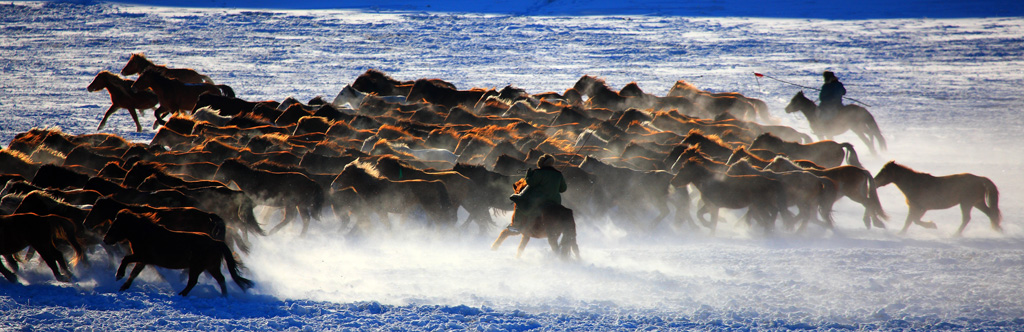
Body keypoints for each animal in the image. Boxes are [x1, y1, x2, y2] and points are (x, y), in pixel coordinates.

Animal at [103, 209, 253, 297]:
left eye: (115, 226)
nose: (105, 239)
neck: (146, 234)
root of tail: (216, 242)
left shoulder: (142, 256)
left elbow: (125, 259)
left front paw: (119, 275)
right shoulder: (143, 260)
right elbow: (134, 273)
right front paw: (123, 287)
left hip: (198, 267)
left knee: (193, 281)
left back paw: (181, 294)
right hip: (211, 267)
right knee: (220, 279)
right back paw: (223, 296)